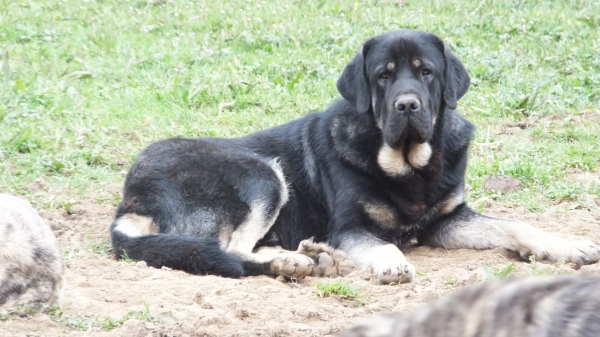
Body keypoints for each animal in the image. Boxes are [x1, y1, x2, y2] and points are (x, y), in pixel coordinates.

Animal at [109, 29, 600, 284]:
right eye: (383, 76)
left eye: (426, 72)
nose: (407, 105)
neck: (408, 165)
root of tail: (132, 198)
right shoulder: (348, 226)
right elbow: (380, 242)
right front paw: (390, 260)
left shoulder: (448, 219)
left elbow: (515, 224)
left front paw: (566, 244)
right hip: (260, 175)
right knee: (230, 248)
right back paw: (297, 260)